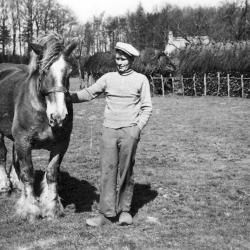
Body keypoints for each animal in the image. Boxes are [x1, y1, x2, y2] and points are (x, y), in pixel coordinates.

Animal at [0, 32, 77, 221]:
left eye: (69, 72)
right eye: (44, 71)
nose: (58, 116)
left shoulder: (61, 144)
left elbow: (52, 173)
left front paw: (52, 207)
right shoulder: (24, 141)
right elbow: (28, 172)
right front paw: (30, 209)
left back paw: (16, 183)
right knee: (3, 154)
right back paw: (5, 185)